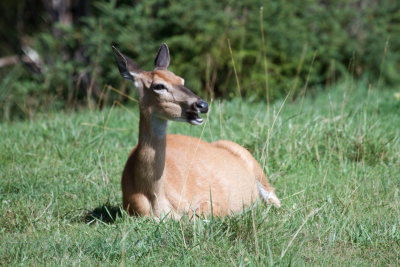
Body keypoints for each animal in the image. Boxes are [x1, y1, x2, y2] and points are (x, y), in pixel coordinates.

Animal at [112, 43, 282, 220]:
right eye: (158, 86)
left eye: (181, 79)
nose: (202, 105)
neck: (154, 197)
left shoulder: (212, 201)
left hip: (257, 169)